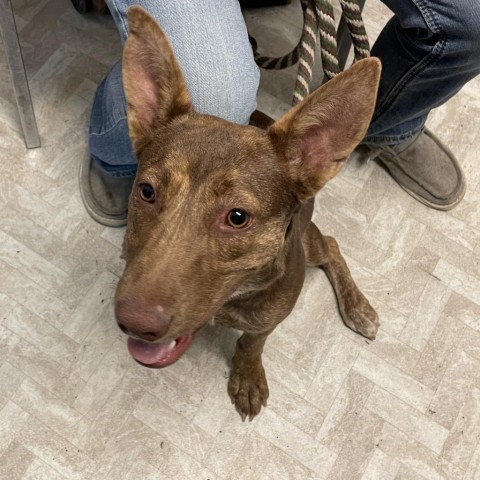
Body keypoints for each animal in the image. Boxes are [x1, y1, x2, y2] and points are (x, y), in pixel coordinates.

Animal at [114, 7, 380, 420]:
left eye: (237, 217)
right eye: (147, 192)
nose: (134, 323)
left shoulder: (272, 316)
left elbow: (252, 343)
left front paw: (248, 376)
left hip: (310, 244)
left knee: (333, 246)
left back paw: (358, 307)